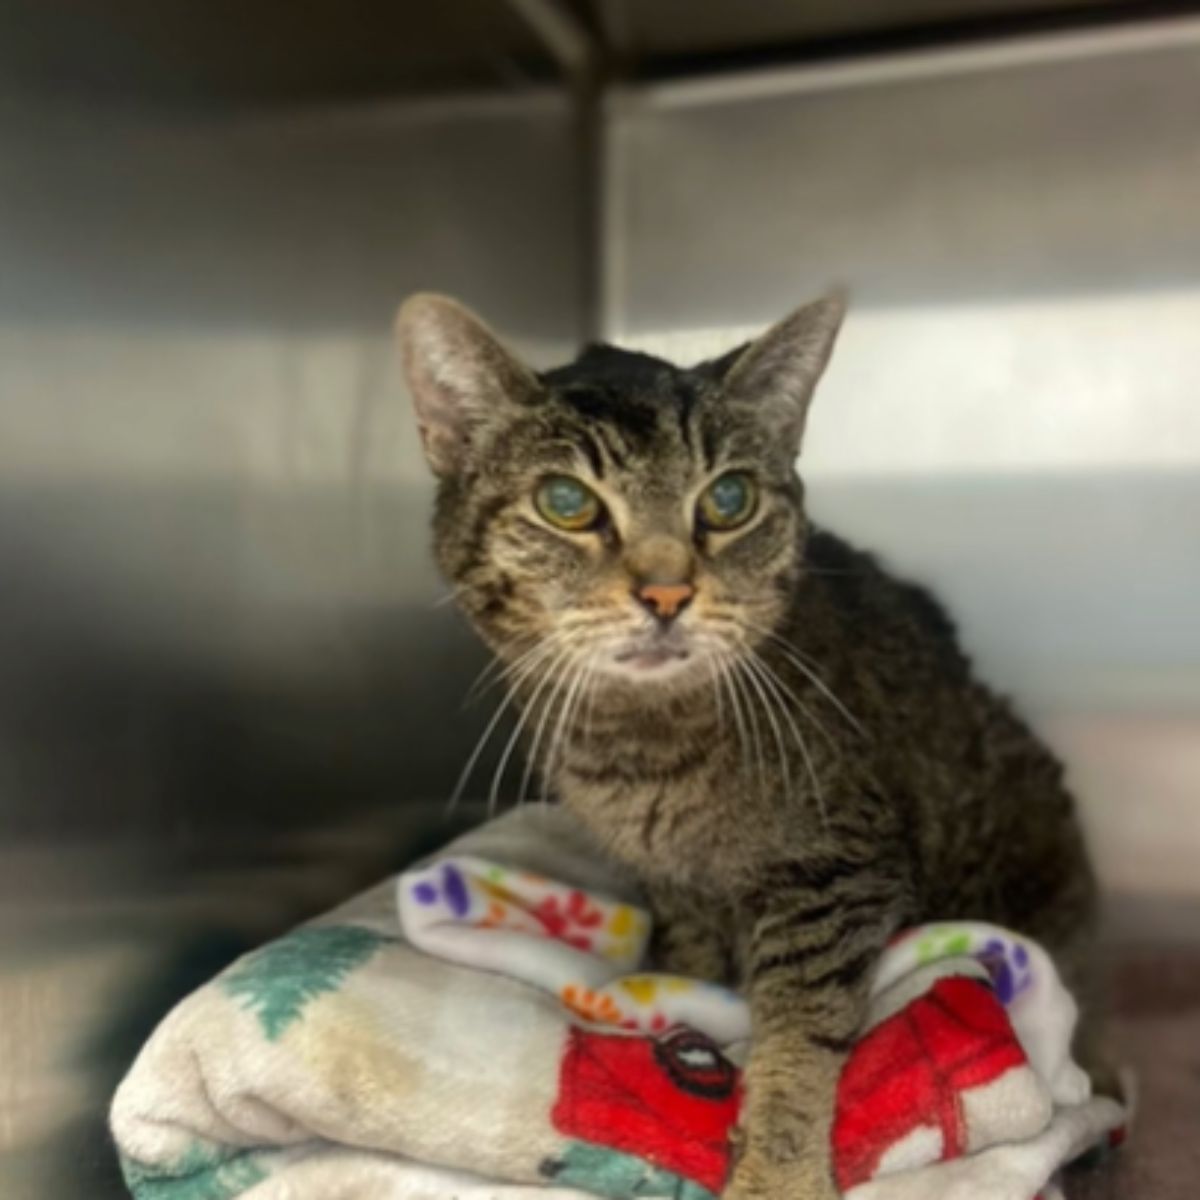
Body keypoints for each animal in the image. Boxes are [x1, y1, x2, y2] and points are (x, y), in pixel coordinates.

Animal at [393, 292, 1099, 1200]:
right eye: (565, 500)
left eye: (727, 499)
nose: (666, 592)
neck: (646, 743)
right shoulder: (675, 883)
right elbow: (696, 959)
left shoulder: (836, 873)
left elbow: (799, 1036)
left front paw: (776, 1168)